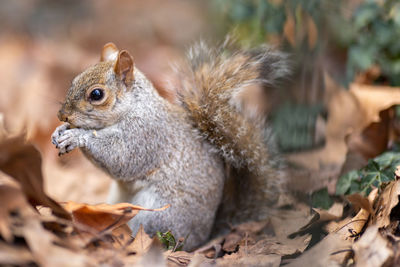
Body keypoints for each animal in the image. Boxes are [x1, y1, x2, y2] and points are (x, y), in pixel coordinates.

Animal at [51, 40, 290, 251]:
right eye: (74, 80)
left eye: (96, 94)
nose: (62, 115)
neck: (135, 107)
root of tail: (207, 234)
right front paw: (60, 131)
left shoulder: (146, 136)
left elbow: (121, 158)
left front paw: (77, 136)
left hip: (155, 215)